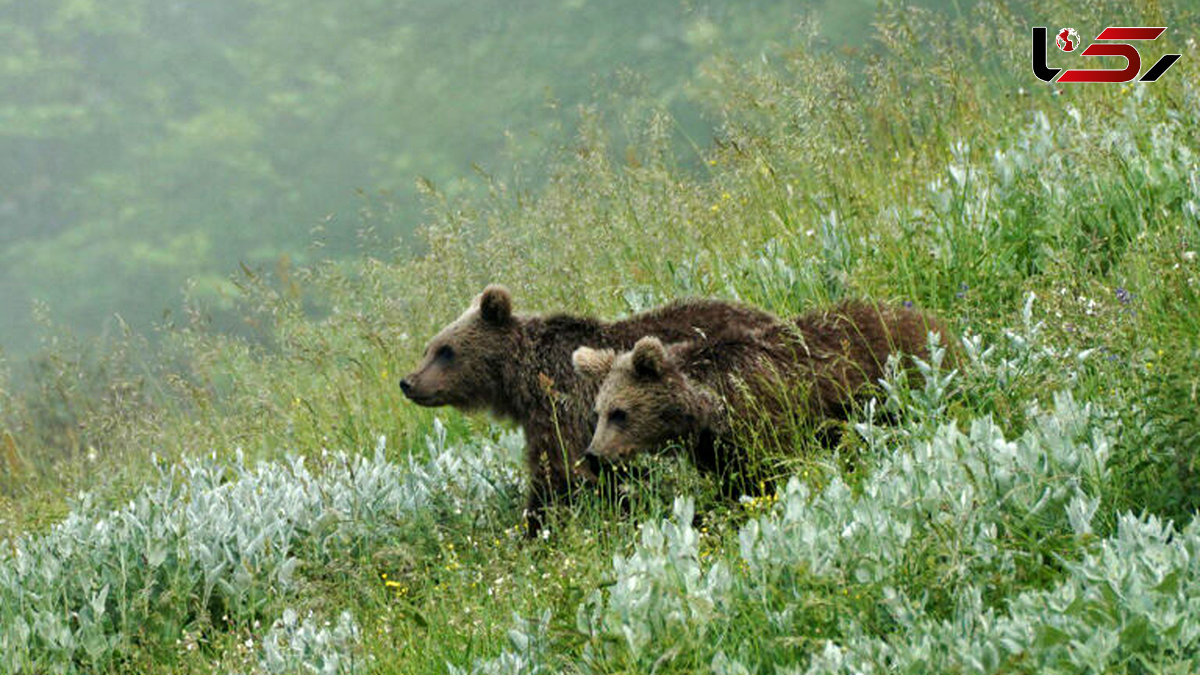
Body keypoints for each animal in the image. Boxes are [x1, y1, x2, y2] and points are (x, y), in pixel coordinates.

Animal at [400, 282, 777, 530]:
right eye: (428, 348)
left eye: (446, 350)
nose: (408, 382)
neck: (522, 378)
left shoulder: (562, 406)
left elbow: (560, 474)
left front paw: (535, 530)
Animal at [573, 299, 955, 487]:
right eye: (598, 412)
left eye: (620, 413)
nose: (595, 454)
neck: (708, 406)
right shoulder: (715, 447)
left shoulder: (762, 416)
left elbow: (774, 469)